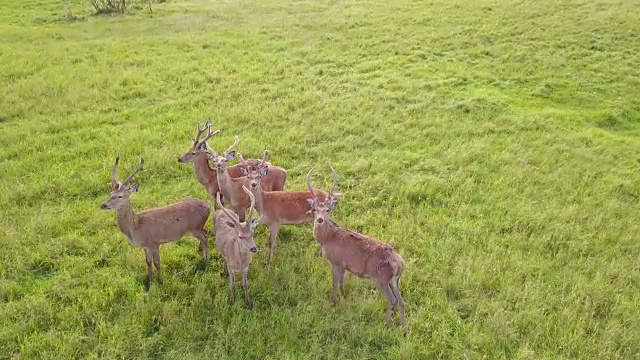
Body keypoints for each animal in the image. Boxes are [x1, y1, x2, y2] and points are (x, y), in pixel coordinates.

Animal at [100, 156, 210, 288]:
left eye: (120, 196)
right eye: (111, 194)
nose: (103, 205)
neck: (135, 227)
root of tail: (208, 205)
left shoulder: (154, 243)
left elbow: (157, 263)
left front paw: (161, 281)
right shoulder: (146, 246)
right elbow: (148, 262)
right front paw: (150, 281)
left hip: (195, 227)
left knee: (206, 236)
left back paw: (206, 262)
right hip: (197, 228)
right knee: (206, 233)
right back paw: (200, 252)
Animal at [304, 167, 404, 334]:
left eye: (327, 210)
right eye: (314, 209)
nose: (319, 220)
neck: (328, 238)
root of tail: (399, 264)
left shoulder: (335, 261)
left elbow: (335, 283)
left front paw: (333, 301)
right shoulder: (345, 265)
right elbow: (342, 282)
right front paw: (344, 296)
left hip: (381, 279)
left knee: (393, 300)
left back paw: (386, 323)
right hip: (394, 280)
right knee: (402, 301)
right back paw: (404, 329)